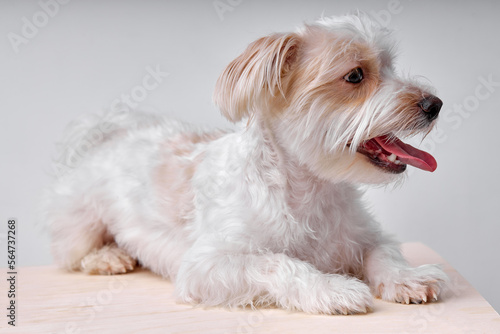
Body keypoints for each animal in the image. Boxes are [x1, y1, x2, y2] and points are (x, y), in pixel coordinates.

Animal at [42, 13, 450, 314]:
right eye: (354, 75)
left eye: (391, 66)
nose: (434, 104)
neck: (307, 191)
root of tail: (112, 133)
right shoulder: (208, 265)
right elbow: (278, 262)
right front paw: (331, 288)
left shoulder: (365, 236)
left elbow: (384, 254)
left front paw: (408, 277)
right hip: (81, 225)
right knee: (70, 254)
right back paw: (108, 257)